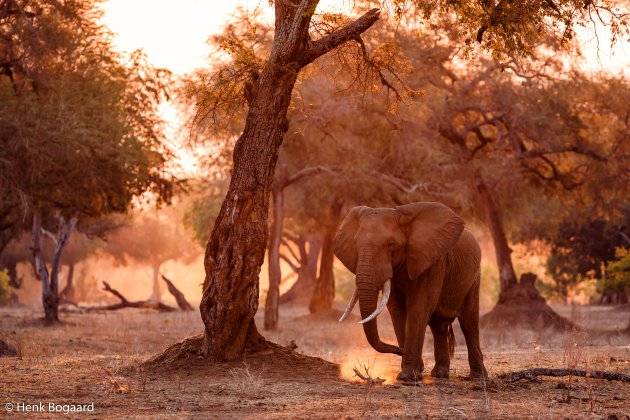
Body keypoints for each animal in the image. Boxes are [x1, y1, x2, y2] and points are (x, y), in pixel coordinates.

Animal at [336, 202, 488, 382]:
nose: (399, 350)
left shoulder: (431, 262)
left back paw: (477, 377)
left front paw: (408, 376)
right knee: (439, 326)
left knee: (469, 323)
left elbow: (418, 307)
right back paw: (440, 374)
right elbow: (397, 311)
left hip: (474, 278)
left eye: (391, 244)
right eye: (356, 244)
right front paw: (413, 371)